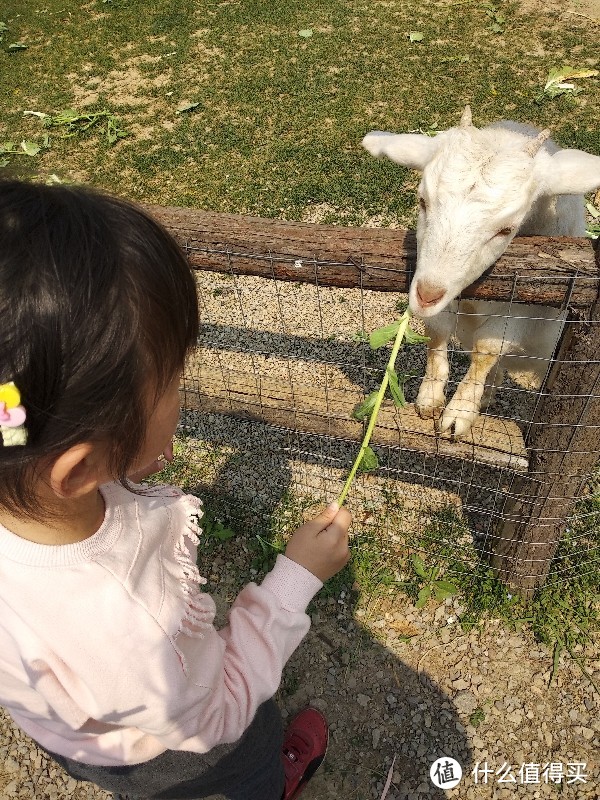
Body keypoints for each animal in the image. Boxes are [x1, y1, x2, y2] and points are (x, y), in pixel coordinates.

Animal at [360, 106, 600, 438]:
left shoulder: (531, 307)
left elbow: (487, 348)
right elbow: (439, 330)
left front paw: (459, 413)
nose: (427, 294)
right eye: (422, 201)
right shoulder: (452, 293)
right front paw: (430, 397)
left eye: (506, 229)